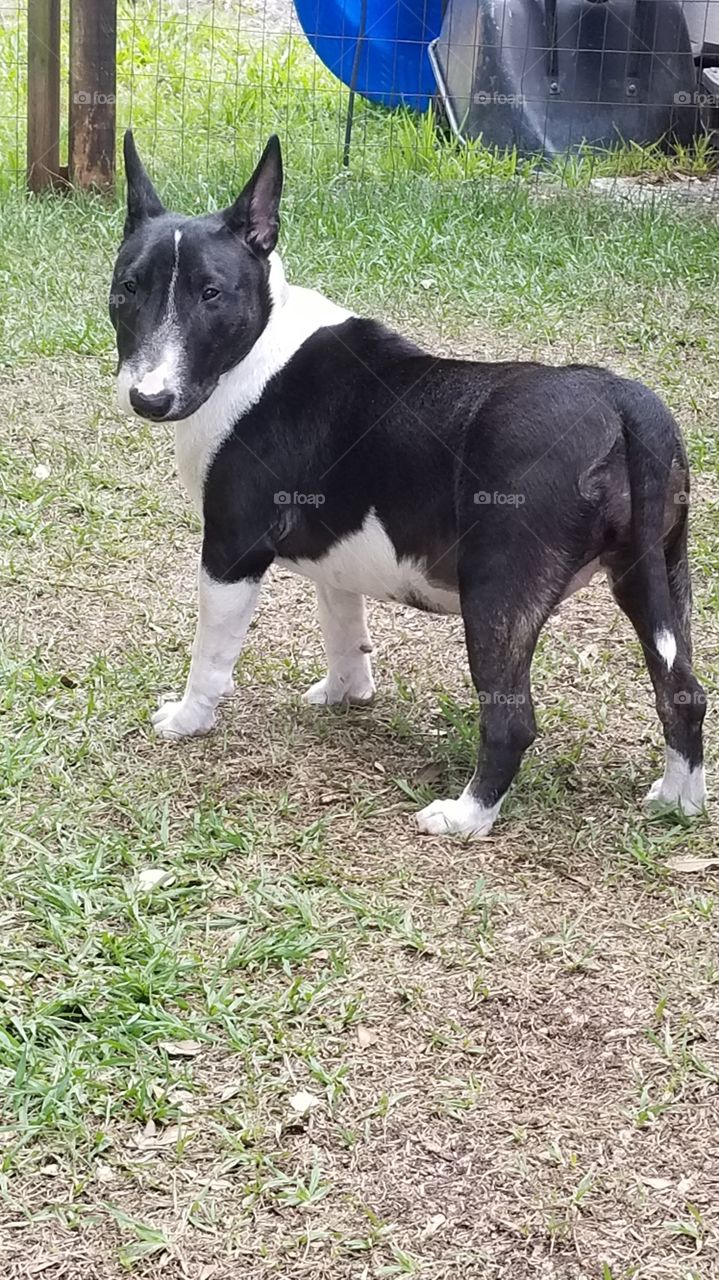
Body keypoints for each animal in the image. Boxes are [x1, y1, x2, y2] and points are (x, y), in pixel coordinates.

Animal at [110, 132, 706, 839]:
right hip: (657, 574)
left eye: (211, 293)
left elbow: (211, 654)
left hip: (498, 592)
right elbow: (343, 625)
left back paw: (467, 817)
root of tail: (623, 401)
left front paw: (187, 719)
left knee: (512, 720)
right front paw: (345, 694)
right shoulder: (334, 554)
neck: (257, 349)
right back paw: (679, 800)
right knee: (683, 691)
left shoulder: (231, 552)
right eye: (127, 288)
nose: (149, 398)